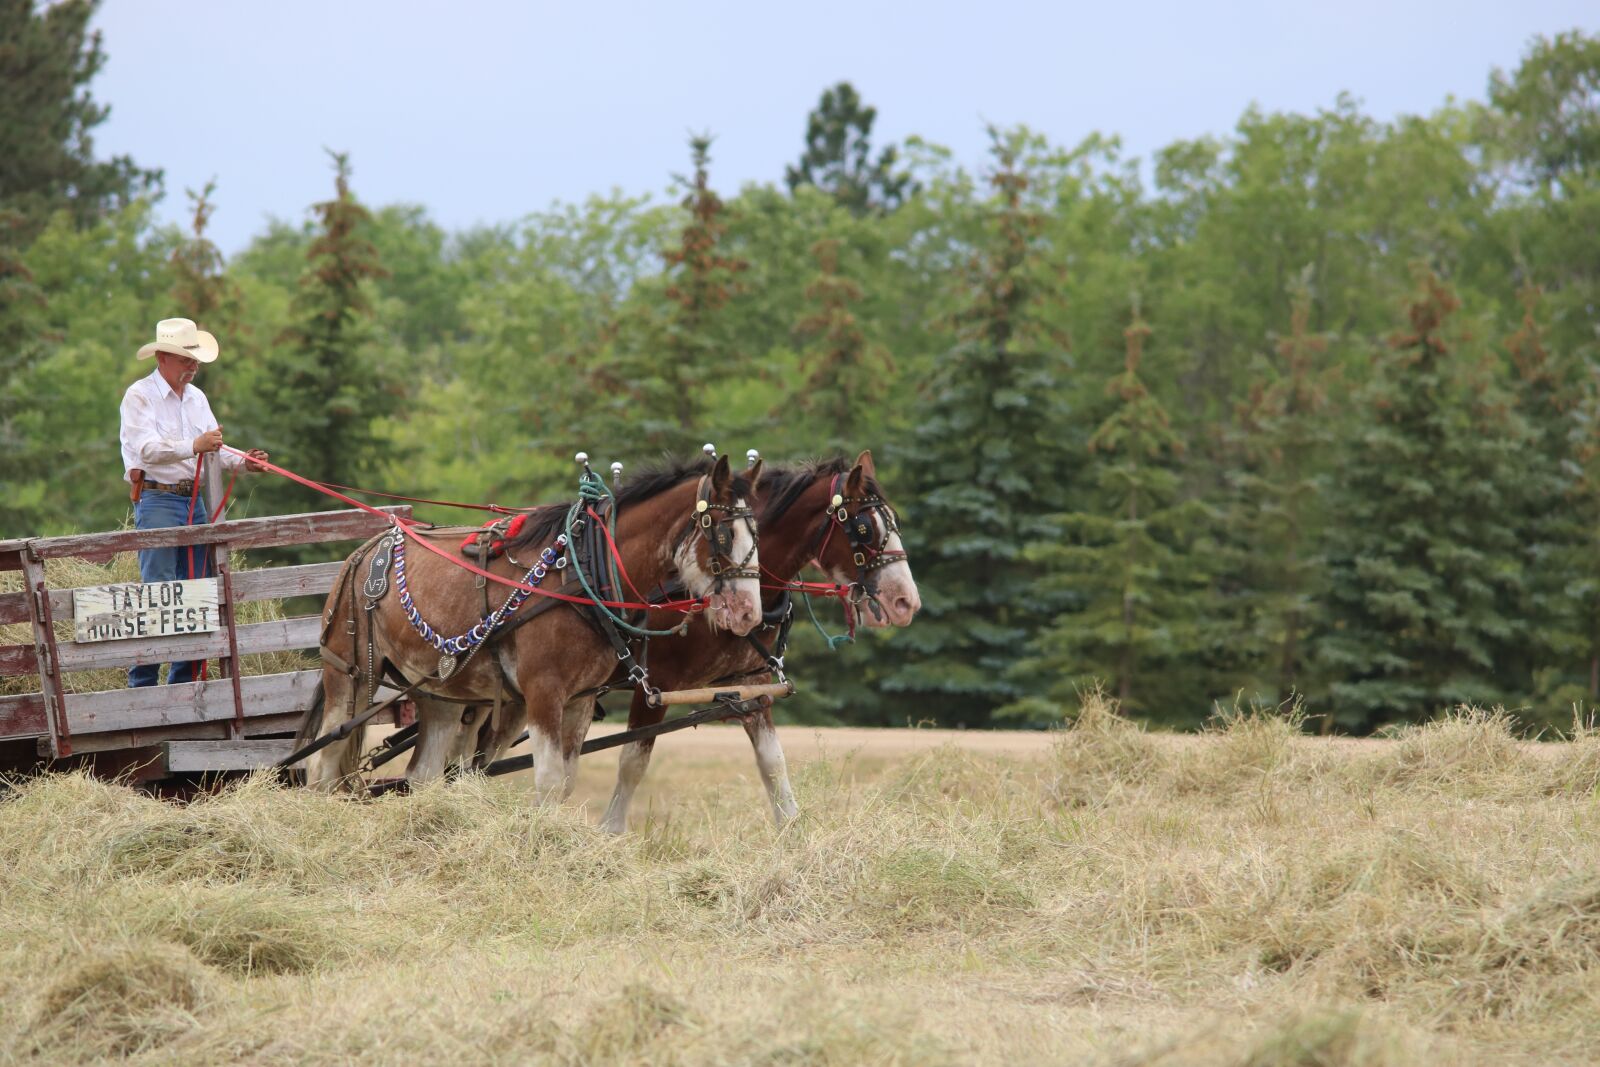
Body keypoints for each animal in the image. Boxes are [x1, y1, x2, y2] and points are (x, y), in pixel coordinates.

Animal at [301, 455, 764, 802]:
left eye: (757, 532)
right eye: (724, 534)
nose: (749, 615)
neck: (587, 572)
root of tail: (363, 551)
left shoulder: (579, 699)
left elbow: (565, 784)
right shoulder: (544, 691)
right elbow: (549, 782)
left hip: (439, 692)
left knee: (422, 774)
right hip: (352, 675)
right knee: (323, 763)